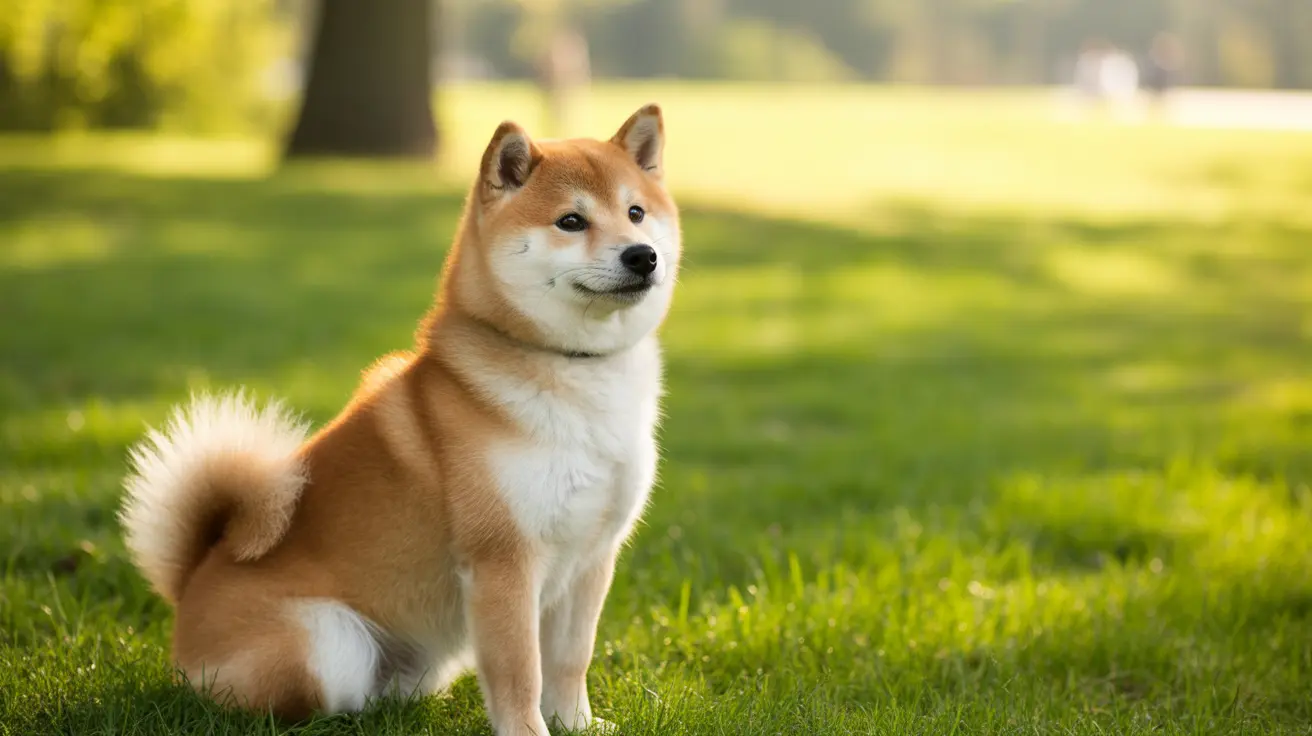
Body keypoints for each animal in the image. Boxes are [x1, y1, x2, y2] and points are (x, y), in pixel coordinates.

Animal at [119, 104, 680, 735]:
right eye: (571, 221)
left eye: (636, 213)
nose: (641, 254)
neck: (577, 373)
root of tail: (190, 589)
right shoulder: (503, 562)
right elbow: (520, 671)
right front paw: (531, 730)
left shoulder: (592, 556)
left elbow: (569, 658)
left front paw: (577, 725)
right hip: (328, 645)